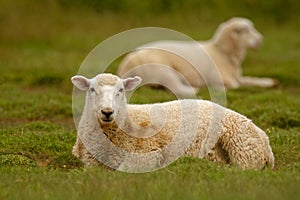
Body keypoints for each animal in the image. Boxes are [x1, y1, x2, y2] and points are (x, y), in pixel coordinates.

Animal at [71, 72, 274, 171]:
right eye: (92, 89)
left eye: (120, 90)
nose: (107, 112)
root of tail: (265, 141)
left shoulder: (147, 154)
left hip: (243, 150)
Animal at [117, 17, 278, 97]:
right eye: (245, 30)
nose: (260, 40)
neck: (221, 53)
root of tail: (125, 66)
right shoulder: (220, 78)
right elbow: (236, 85)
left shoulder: (237, 76)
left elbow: (250, 80)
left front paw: (269, 82)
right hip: (162, 69)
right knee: (174, 88)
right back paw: (195, 89)